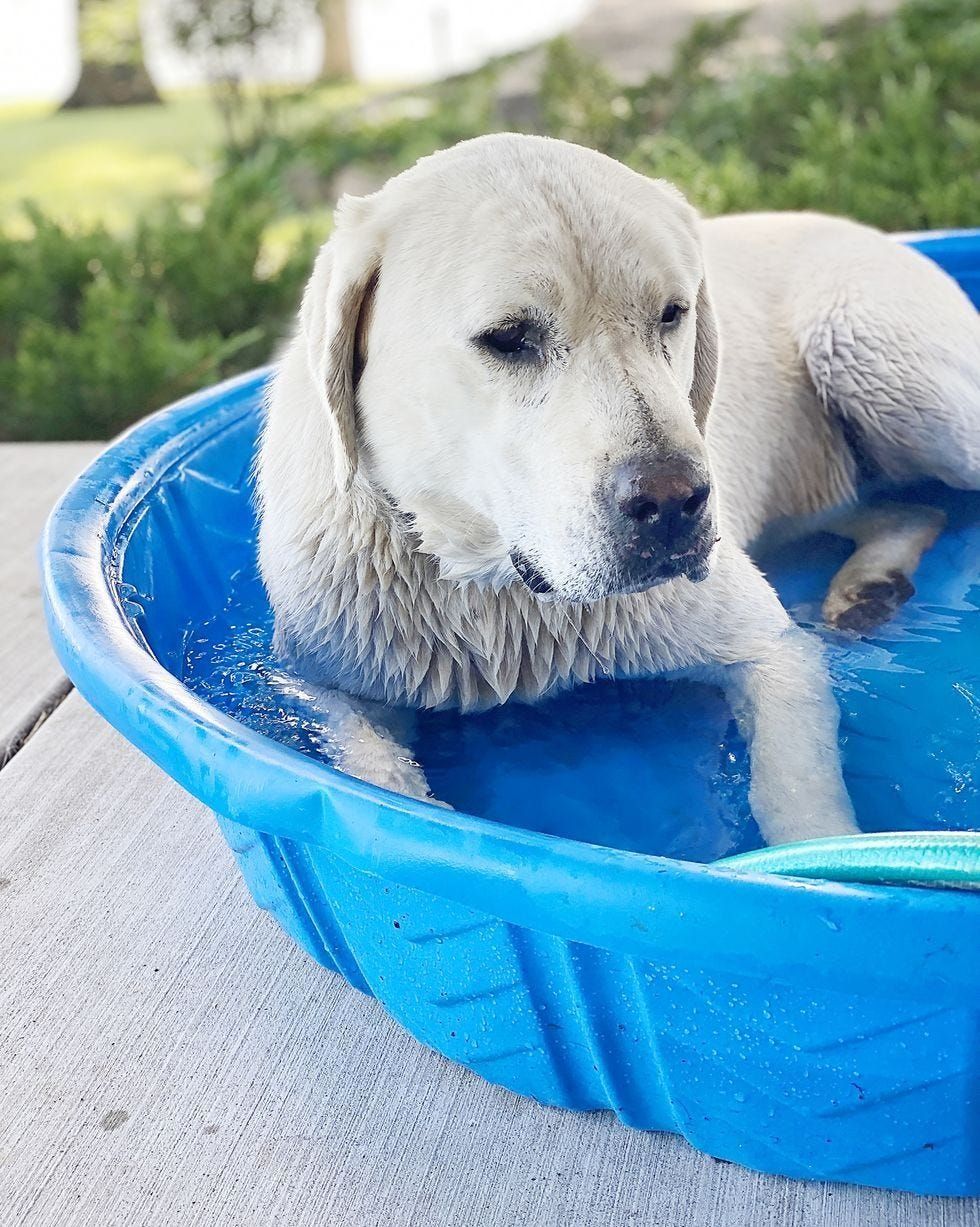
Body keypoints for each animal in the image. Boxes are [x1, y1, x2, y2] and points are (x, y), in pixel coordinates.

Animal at [255, 131, 980, 844]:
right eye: (508, 337)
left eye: (671, 314)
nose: (674, 502)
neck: (499, 597)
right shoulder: (332, 685)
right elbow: (372, 771)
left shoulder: (772, 652)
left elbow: (799, 800)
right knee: (906, 510)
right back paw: (870, 584)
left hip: (868, 349)